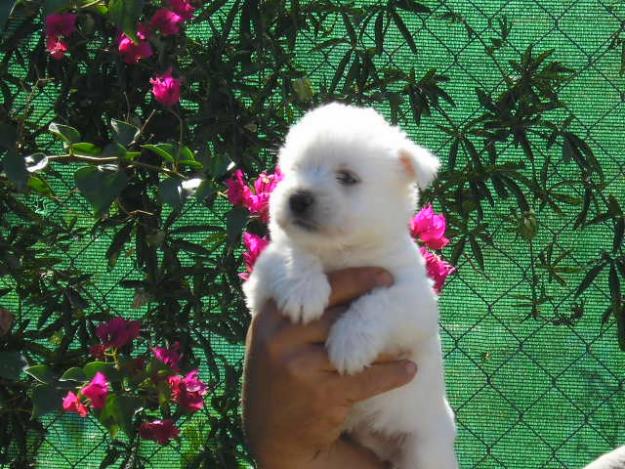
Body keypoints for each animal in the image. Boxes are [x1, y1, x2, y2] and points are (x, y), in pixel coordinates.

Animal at [244, 103, 458, 468]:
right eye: (295, 169)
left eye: (346, 178)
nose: (297, 198)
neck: (343, 252)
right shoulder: (260, 279)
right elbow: (293, 253)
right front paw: (305, 293)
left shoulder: (417, 299)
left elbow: (378, 302)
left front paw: (349, 344)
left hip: (425, 449)